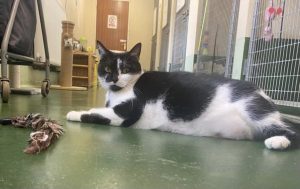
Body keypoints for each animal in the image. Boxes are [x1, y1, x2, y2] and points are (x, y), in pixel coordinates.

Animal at [67, 41, 298, 151]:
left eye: (124, 68)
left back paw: (278, 141)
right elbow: (100, 110)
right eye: (107, 69)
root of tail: (262, 92)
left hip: (254, 110)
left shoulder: (128, 112)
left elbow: (95, 113)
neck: (120, 92)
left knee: (293, 132)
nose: (113, 79)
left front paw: (73, 113)